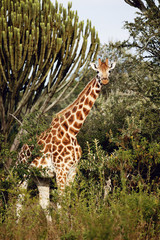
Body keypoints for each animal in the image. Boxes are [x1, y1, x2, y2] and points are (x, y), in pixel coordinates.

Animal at [16, 57, 115, 221]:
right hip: (23, 172)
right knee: (19, 200)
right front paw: (64, 226)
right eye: (97, 71)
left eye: (109, 70)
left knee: (43, 203)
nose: (105, 80)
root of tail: (21, 149)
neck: (72, 130)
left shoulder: (72, 169)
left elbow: (67, 201)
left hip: (41, 177)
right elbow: (61, 203)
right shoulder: (61, 169)